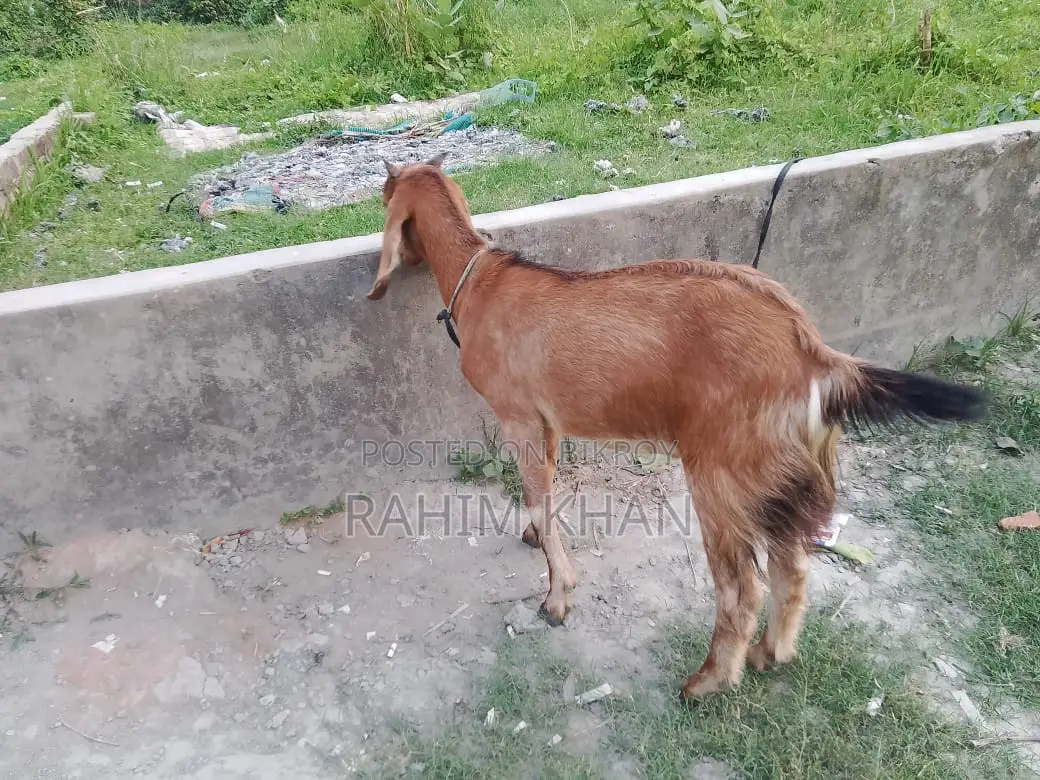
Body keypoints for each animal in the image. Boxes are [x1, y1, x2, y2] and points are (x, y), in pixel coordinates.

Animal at [366, 154, 988, 699]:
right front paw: (535, 540)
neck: (480, 280)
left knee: (742, 589)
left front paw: (558, 597)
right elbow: (545, 489)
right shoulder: (551, 422)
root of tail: (813, 354)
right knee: (793, 567)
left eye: (384, 195)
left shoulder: (518, 415)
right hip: (775, 474)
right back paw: (768, 655)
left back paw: (706, 682)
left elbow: (539, 496)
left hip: (721, 470)